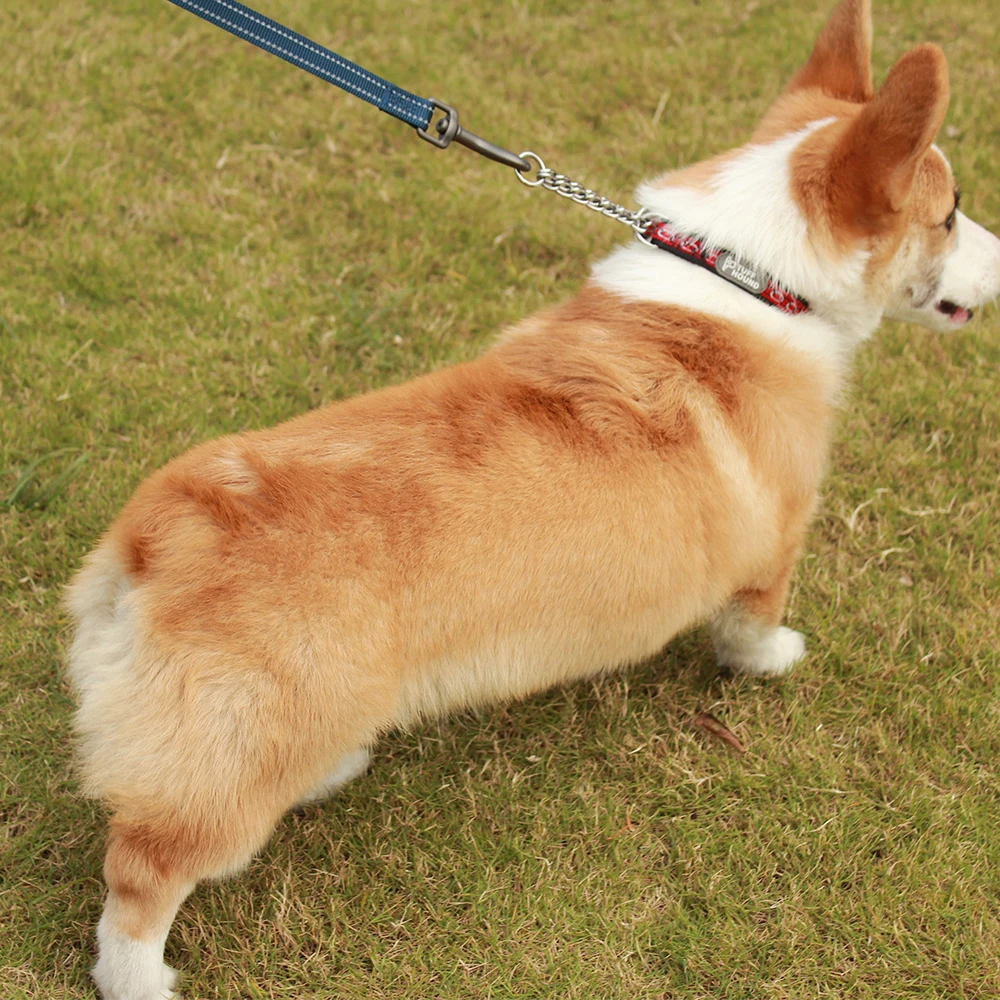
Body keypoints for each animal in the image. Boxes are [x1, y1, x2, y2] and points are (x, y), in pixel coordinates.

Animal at [64, 0, 1000, 996]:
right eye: (948, 216)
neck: (748, 274)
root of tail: (159, 535)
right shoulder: (776, 546)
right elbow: (752, 626)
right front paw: (775, 658)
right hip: (228, 773)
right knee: (141, 877)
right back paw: (142, 976)